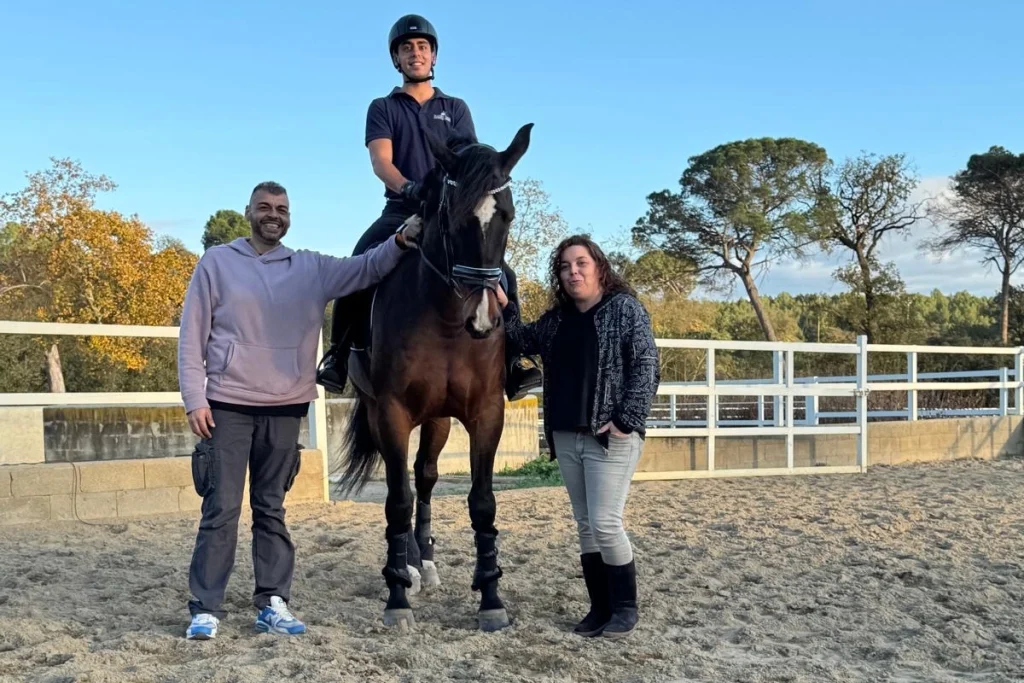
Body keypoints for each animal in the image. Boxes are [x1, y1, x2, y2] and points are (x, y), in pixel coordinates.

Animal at [336, 123, 534, 632]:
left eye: (506, 216)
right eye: (454, 216)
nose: (483, 320)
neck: (445, 319)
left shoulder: (486, 412)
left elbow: (481, 502)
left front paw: (491, 598)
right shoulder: (391, 413)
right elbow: (396, 501)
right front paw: (397, 599)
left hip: (439, 419)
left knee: (424, 477)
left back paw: (423, 561)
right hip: (387, 413)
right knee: (404, 485)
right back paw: (406, 566)